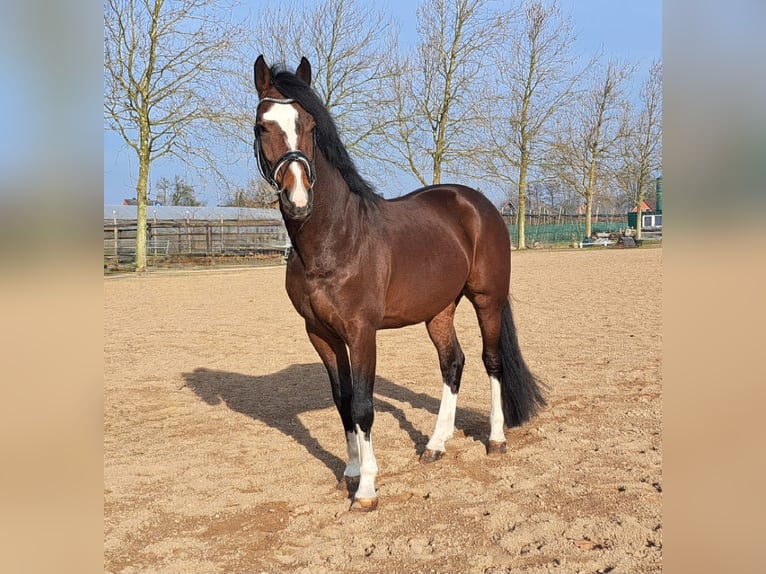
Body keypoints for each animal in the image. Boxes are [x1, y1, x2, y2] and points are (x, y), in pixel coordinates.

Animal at [252, 55, 544, 512]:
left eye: (312, 126)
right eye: (262, 126)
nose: (297, 200)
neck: (334, 239)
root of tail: (477, 203)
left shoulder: (361, 333)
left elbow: (363, 405)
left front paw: (367, 490)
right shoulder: (321, 334)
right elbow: (342, 401)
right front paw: (351, 471)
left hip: (487, 300)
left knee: (491, 361)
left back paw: (496, 439)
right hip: (439, 310)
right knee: (453, 364)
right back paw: (435, 445)